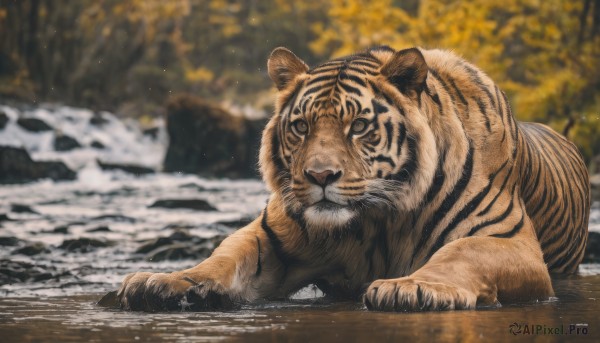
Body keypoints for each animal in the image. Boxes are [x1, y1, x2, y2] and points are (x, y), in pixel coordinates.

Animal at [117, 46, 592, 314]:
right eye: (302, 127)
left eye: (359, 127)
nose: (320, 175)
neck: (377, 219)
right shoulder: (272, 236)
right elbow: (222, 258)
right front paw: (162, 282)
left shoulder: (506, 240)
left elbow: (460, 254)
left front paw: (411, 287)